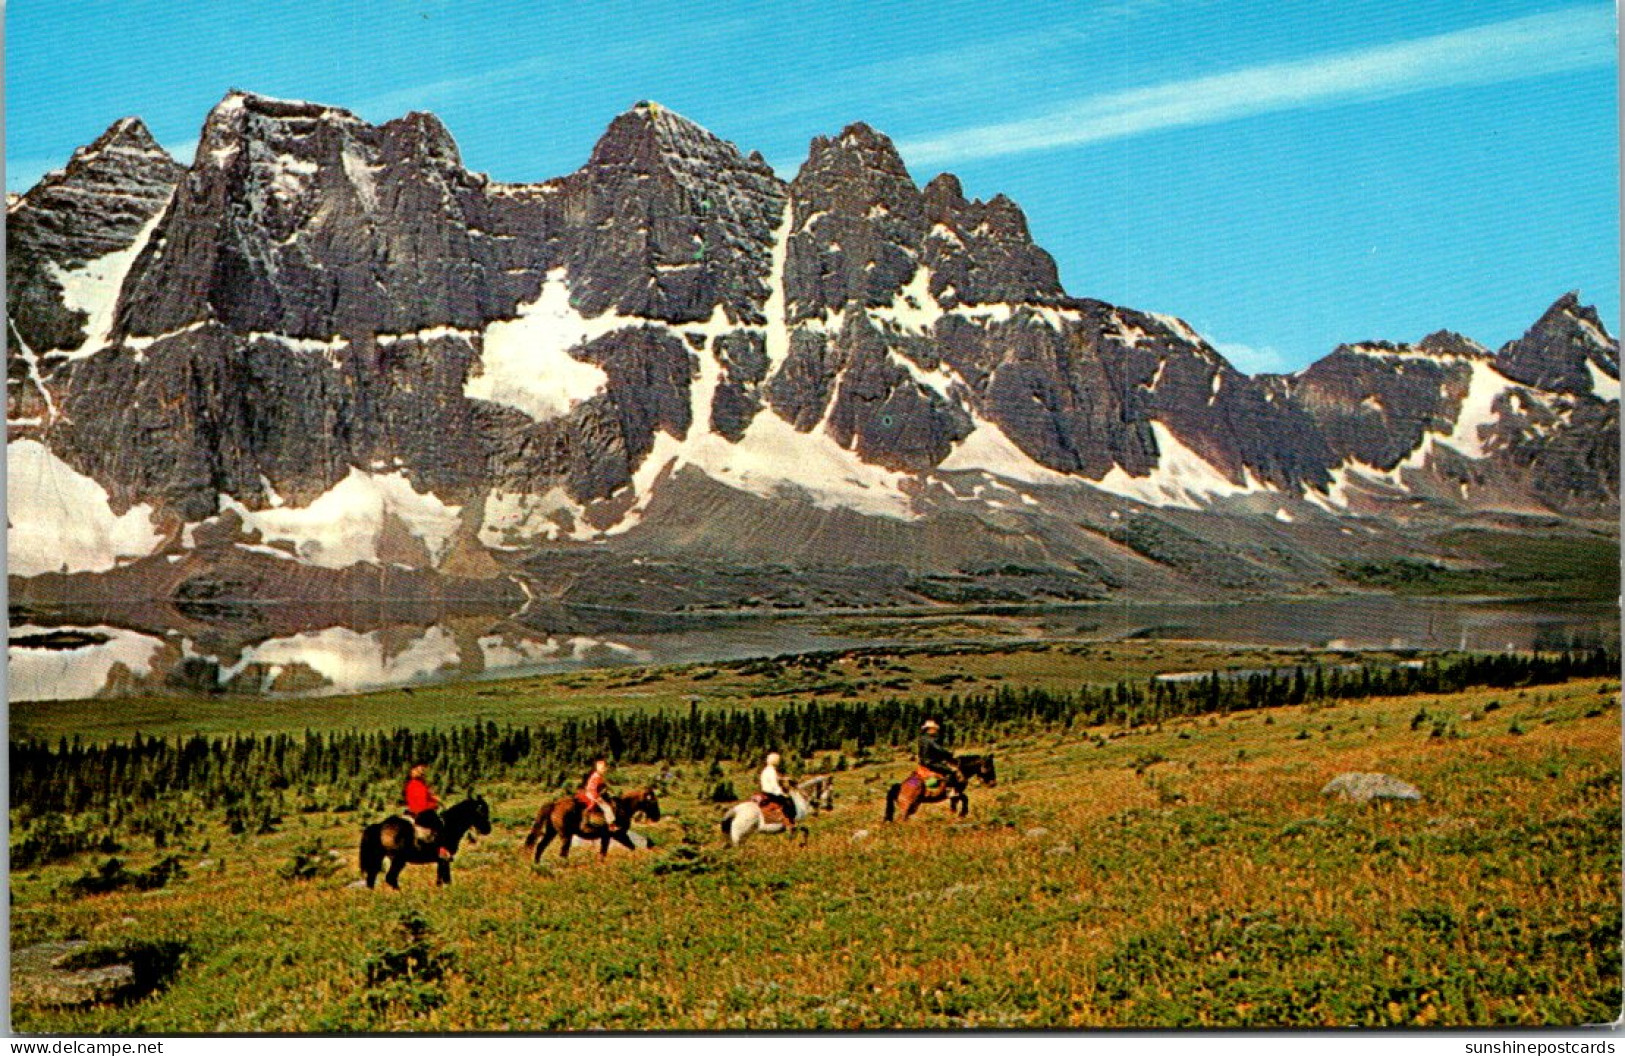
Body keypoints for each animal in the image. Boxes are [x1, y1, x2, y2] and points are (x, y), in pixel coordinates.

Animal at [526, 786, 666, 857]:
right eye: (653, 802)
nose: (657, 817)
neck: (624, 807)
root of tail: (555, 804)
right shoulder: (618, 834)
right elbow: (629, 847)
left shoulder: (608, 837)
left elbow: (607, 852)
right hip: (565, 836)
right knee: (562, 853)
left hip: (551, 832)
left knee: (540, 847)